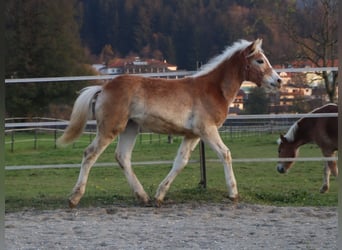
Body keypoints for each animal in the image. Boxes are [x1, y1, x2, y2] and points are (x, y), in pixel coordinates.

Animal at [58, 39, 282, 207]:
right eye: (260, 61)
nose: (278, 81)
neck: (213, 88)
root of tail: (103, 88)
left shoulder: (192, 135)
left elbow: (180, 162)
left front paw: (159, 195)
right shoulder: (207, 130)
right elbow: (225, 153)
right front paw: (233, 194)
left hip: (130, 128)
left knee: (122, 157)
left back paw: (143, 197)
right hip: (110, 128)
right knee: (90, 154)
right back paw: (74, 198)